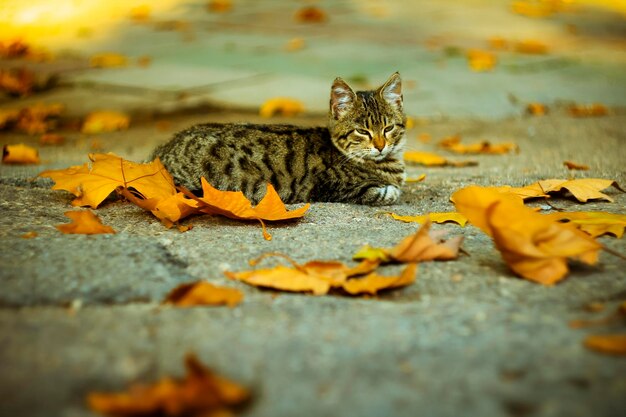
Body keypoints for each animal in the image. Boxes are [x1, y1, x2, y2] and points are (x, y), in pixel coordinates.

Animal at [150, 73, 404, 206]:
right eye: (362, 131)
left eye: (389, 128)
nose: (380, 146)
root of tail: (158, 154)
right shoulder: (328, 186)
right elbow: (379, 192)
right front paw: (390, 191)